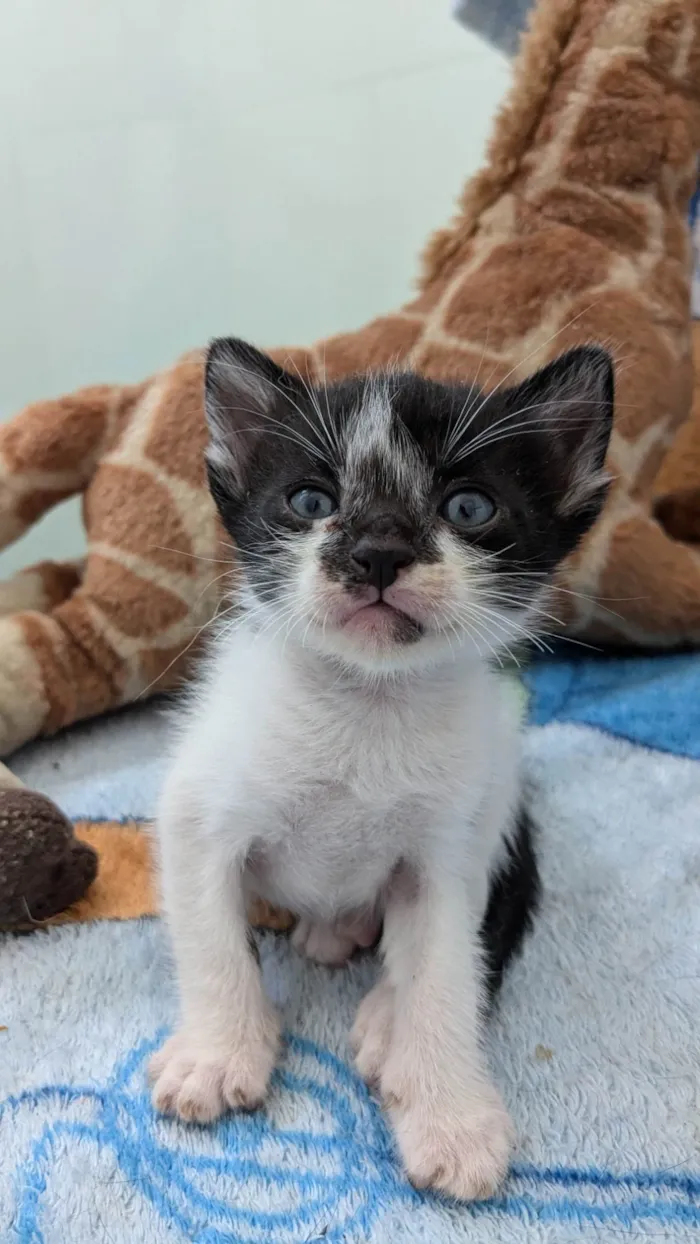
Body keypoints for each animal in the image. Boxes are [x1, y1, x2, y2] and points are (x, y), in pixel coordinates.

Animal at [149, 335, 614, 1199]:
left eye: (469, 508)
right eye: (309, 501)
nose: (377, 553)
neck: (365, 705)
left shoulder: (447, 851)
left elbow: (447, 972)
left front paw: (450, 1117)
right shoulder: (197, 808)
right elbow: (211, 939)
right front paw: (217, 1052)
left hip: (502, 800)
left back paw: (383, 1019)